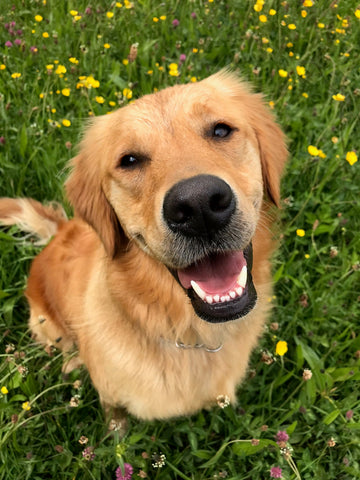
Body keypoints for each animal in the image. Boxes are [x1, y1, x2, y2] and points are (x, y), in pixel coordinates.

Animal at [0, 70, 286, 420]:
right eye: (130, 160)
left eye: (221, 130)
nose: (198, 206)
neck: (189, 332)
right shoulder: (111, 394)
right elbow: (116, 418)